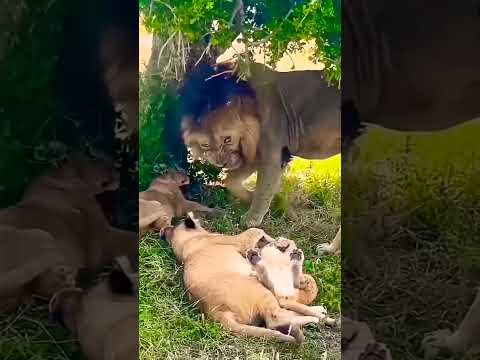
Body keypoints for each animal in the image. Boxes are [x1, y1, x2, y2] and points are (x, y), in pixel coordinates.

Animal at [180, 60, 342, 226]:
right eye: (205, 145)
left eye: (227, 139)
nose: (221, 164)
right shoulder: (253, 155)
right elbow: (231, 181)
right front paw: (272, 202)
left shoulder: (272, 154)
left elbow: (263, 189)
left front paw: (251, 219)